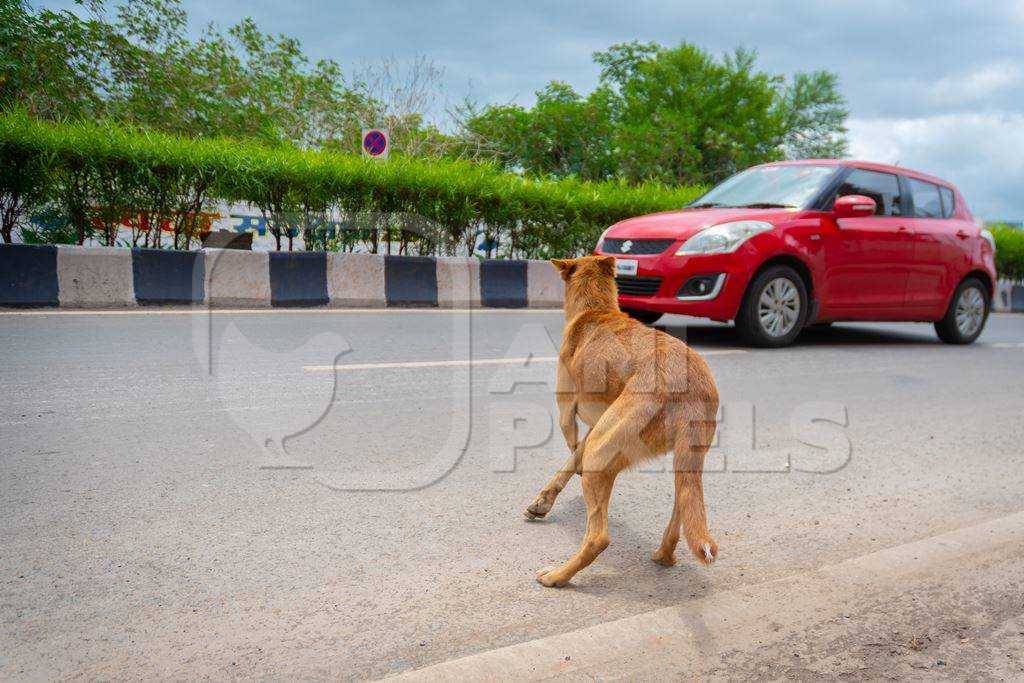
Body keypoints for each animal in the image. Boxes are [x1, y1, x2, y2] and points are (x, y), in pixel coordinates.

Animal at [528, 255, 720, 589]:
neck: (596, 309)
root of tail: (689, 389)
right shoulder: (597, 424)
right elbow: (570, 460)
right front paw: (544, 499)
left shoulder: (568, 414)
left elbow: (571, 451)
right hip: (682, 459)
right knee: (682, 506)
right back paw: (665, 554)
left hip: (602, 452)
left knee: (599, 538)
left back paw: (557, 576)